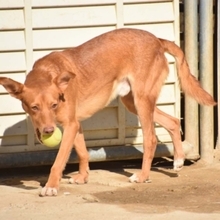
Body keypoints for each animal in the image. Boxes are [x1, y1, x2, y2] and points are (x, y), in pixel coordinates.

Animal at [0, 27, 217, 196]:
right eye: (34, 107)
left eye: (53, 105)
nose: (48, 131)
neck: (47, 72)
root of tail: (156, 39)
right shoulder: (75, 125)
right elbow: (82, 153)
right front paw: (83, 177)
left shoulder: (70, 125)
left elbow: (59, 160)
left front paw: (51, 186)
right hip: (133, 102)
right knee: (173, 121)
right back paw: (179, 159)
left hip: (141, 101)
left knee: (151, 139)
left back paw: (143, 176)